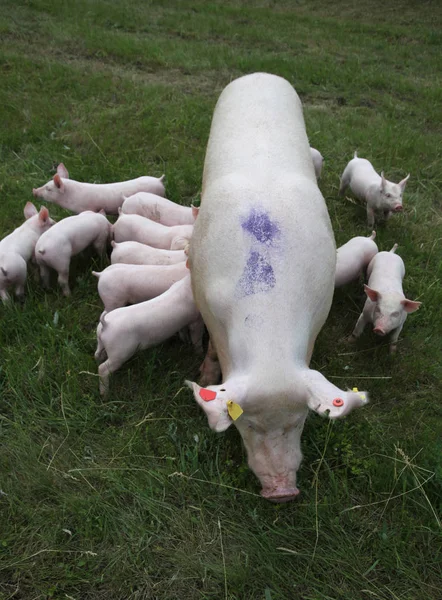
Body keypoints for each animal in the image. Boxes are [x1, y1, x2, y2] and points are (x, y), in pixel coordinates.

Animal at [185, 74, 368, 502]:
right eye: (247, 423)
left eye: (299, 421)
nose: (282, 492)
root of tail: (260, 75)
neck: (269, 329)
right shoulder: (203, 298)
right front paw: (205, 376)